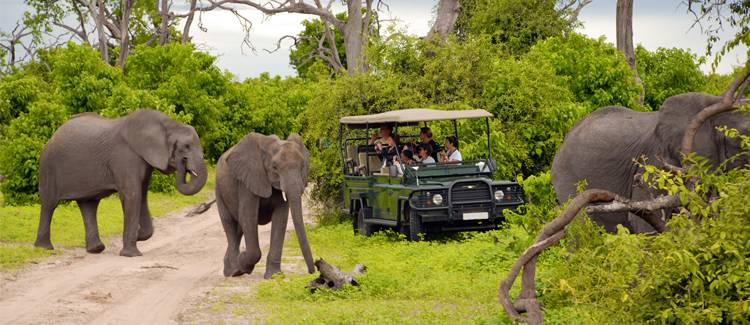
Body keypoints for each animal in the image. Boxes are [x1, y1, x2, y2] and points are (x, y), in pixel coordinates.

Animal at [34, 109, 207, 256]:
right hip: (48, 167)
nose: (183, 164)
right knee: (49, 204)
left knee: (88, 205)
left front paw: (138, 236)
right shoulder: (125, 157)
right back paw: (44, 248)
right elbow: (133, 195)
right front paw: (131, 254)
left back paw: (96, 249)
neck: (168, 123)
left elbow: (142, 195)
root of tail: (53, 135)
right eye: (185, 147)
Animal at [216, 130, 316, 278]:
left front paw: (273, 276)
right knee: (230, 225)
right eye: (274, 167)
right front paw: (244, 263)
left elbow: (281, 217)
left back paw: (230, 269)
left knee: (239, 229)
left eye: (302, 166)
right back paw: (235, 271)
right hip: (219, 191)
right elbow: (248, 215)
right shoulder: (247, 179)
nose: (312, 271)